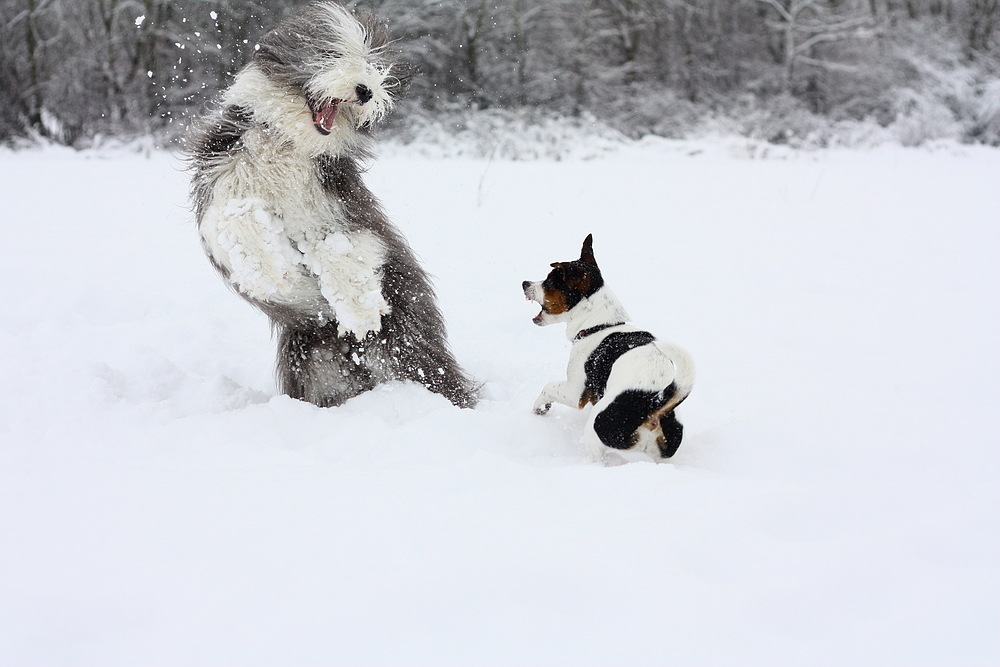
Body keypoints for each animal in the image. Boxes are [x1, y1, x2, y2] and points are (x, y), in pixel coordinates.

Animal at [190, 1, 480, 408]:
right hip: (316, 368)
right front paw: (267, 268)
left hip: (409, 344)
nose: (365, 90)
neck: (290, 144)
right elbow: (231, 219)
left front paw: (361, 312)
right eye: (331, 54)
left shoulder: (344, 207)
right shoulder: (219, 182)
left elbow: (339, 245)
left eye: (371, 64)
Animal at [524, 236, 696, 464]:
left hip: (596, 428)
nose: (524, 283)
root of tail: (655, 404)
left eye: (549, 281)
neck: (601, 325)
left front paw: (539, 407)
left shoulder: (575, 391)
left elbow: (548, 387)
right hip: (667, 456)